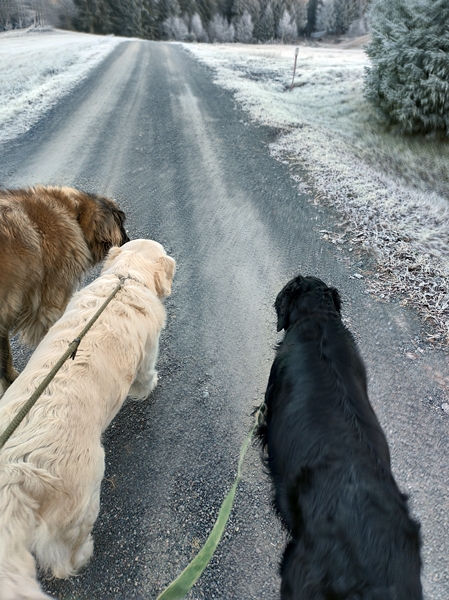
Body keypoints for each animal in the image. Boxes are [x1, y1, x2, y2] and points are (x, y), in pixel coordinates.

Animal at [0, 188, 130, 394]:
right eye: (121, 223)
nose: (128, 240)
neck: (75, 215)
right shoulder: (49, 308)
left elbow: (4, 355)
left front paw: (9, 380)